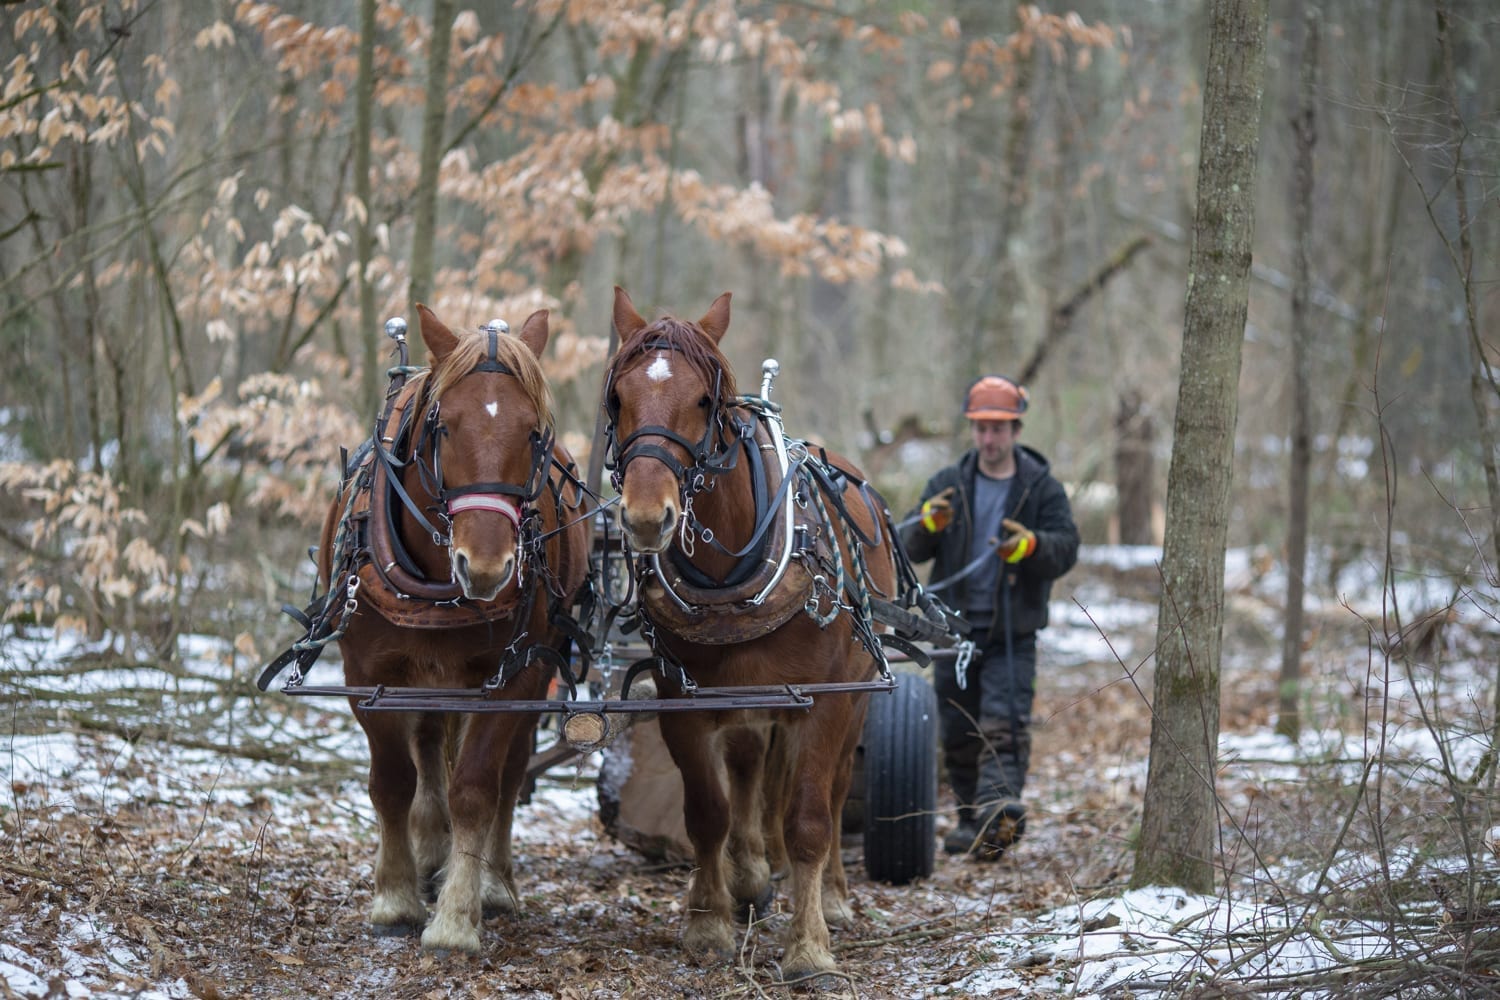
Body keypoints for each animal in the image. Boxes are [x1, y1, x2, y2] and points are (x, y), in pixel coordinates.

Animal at [322, 305, 591, 953]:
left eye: (534, 433)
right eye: (445, 427)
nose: (488, 567)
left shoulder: (514, 678)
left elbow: (476, 789)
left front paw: (457, 917)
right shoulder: (368, 675)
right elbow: (393, 781)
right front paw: (395, 896)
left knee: (509, 774)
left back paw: (493, 883)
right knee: (426, 755)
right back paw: (428, 855)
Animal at [603, 283, 894, 977]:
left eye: (704, 401)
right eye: (618, 398)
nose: (647, 517)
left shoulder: (826, 703)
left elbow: (810, 819)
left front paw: (810, 945)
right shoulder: (683, 700)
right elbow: (707, 812)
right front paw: (709, 922)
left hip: (857, 698)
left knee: (835, 791)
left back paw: (833, 895)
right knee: (748, 765)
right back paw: (750, 874)